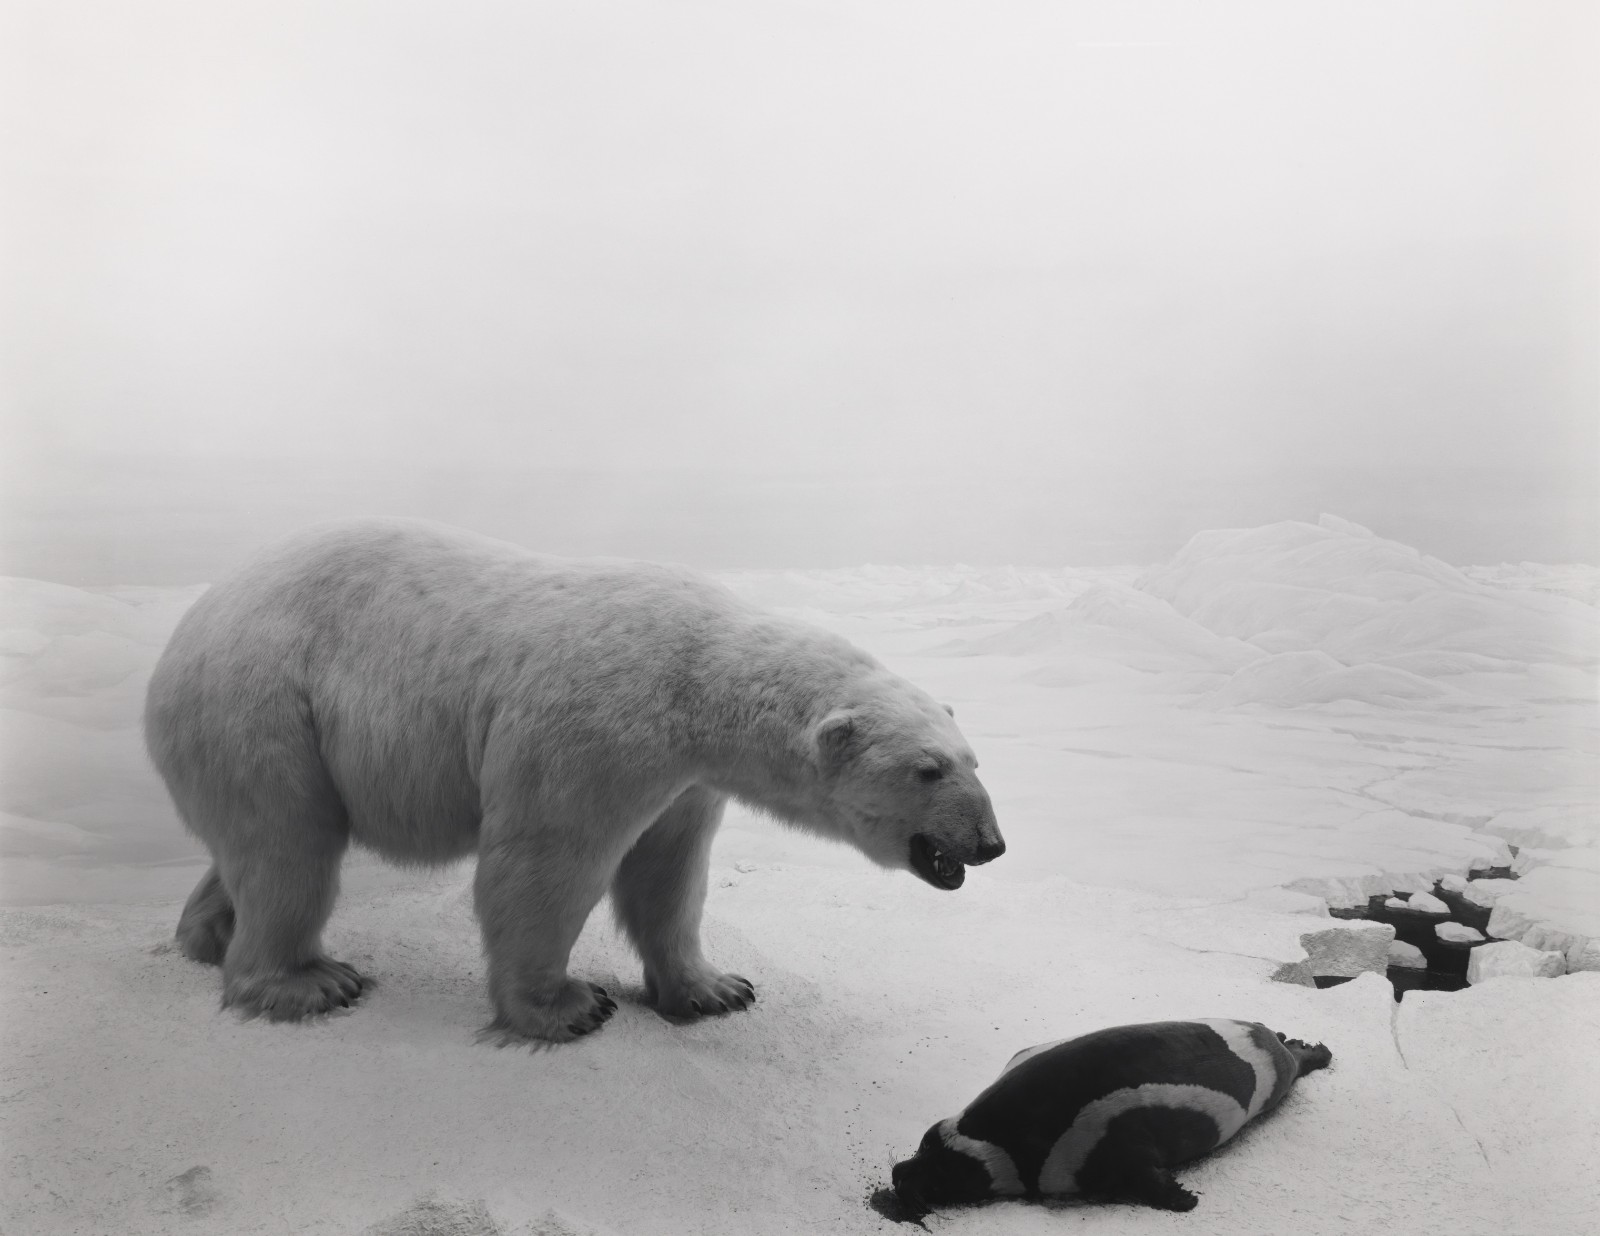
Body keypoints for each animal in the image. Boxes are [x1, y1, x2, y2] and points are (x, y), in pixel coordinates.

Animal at [147, 515, 998, 1037]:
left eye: (973, 758)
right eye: (927, 770)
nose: (990, 843)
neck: (700, 677)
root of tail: (185, 629)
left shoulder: (686, 779)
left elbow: (669, 874)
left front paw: (716, 988)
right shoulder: (596, 726)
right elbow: (546, 860)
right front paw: (566, 1007)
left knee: (258, 846)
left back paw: (206, 936)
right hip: (264, 704)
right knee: (290, 846)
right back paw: (306, 981)